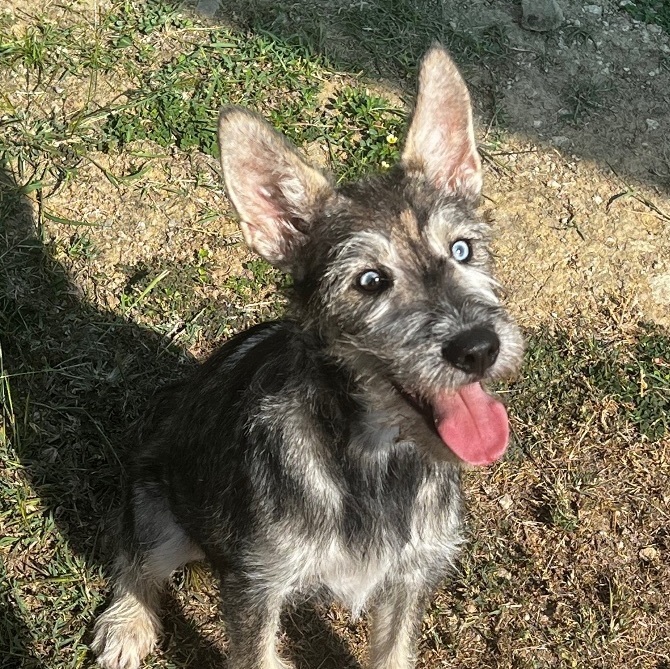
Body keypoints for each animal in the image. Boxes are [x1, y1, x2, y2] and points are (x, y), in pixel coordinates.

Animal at [92, 45, 528, 668]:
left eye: (462, 250)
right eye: (370, 281)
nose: (478, 348)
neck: (373, 462)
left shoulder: (408, 578)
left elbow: (393, 651)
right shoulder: (257, 583)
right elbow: (254, 654)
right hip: (159, 502)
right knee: (135, 553)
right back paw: (126, 624)